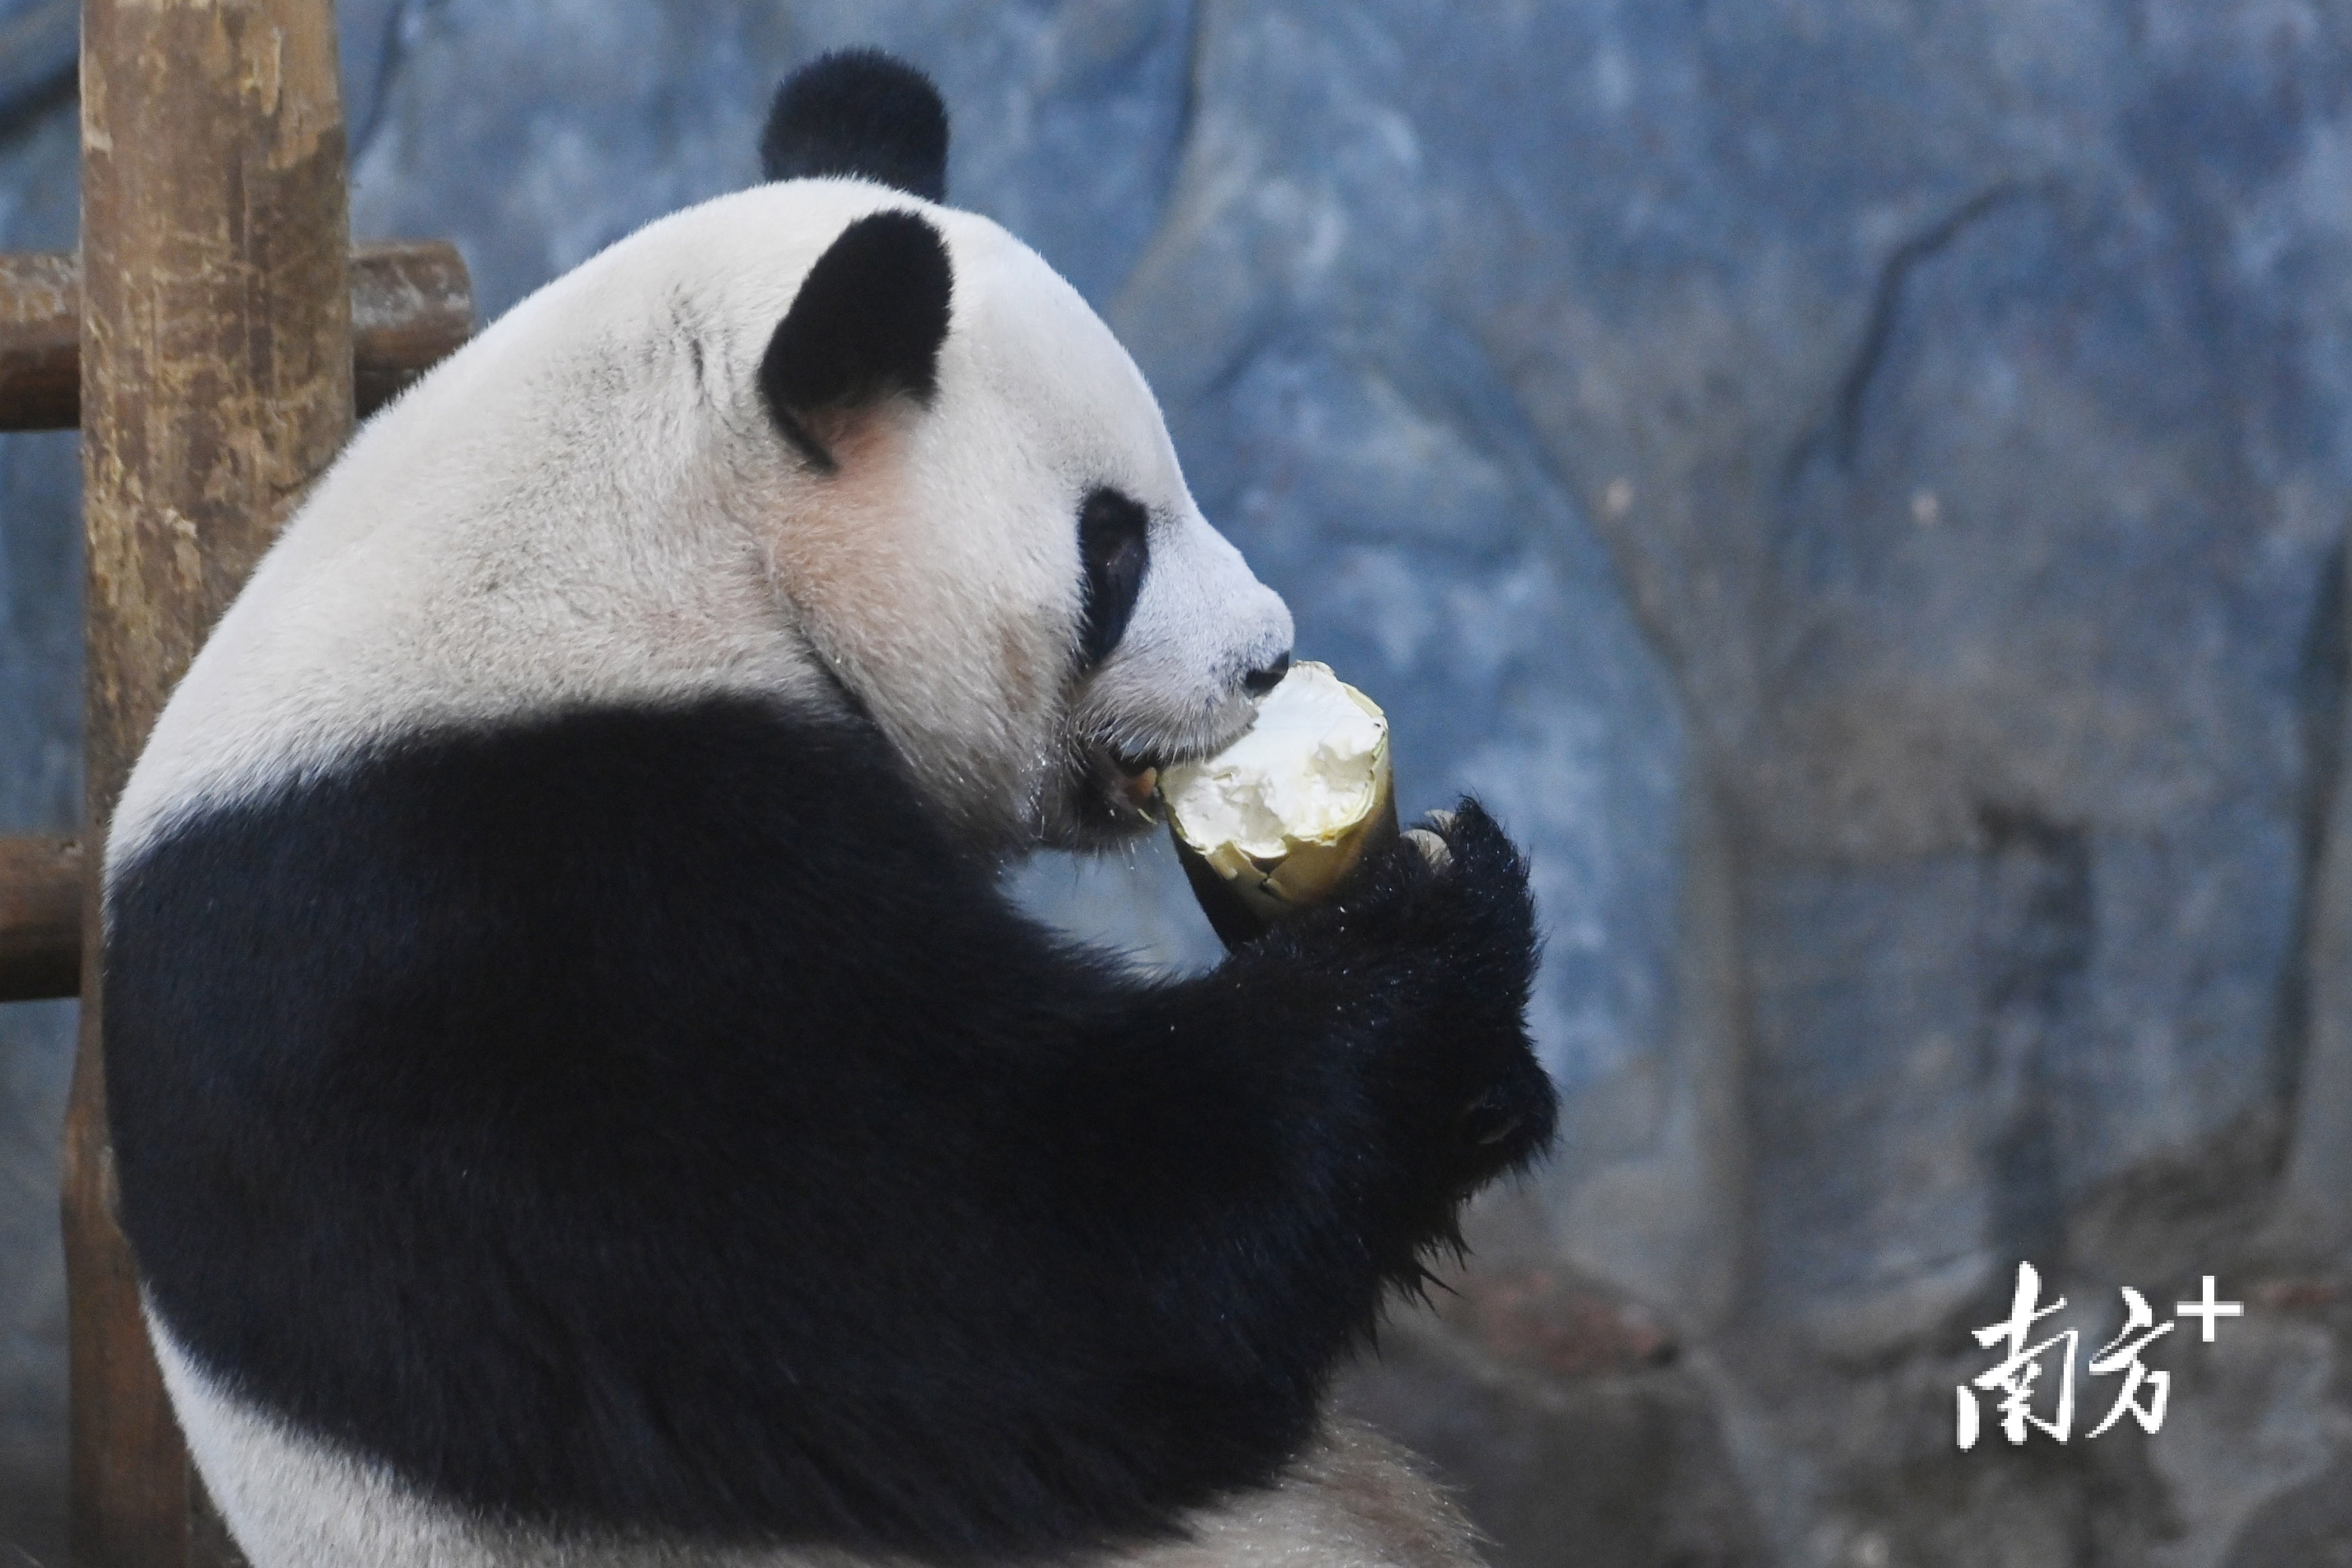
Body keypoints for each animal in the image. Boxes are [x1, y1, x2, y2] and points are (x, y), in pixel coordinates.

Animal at [101, 49, 1552, 1568]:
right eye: (1110, 542)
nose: (1265, 658)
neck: (653, 540)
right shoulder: (509, 910)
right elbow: (1026, 1256)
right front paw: (1432, 933)